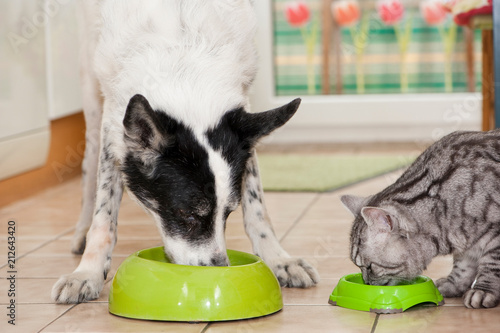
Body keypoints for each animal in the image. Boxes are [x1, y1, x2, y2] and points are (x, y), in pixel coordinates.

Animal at [50, 0, 318, 304]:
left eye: (228, 214)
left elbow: (257, 206)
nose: (219, 270)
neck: (184, 54)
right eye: (188, 216)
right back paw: (81, 230)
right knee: (88, 163)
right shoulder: (113, 122)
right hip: (91, 89)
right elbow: (104, 217)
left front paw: (278, 259)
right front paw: (88, 273)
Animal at [342, 128, 500, 308]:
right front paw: (452, 284)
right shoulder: (465, 245)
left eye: (369, 267)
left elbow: (491, 265)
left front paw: (483, 291)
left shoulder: (495, 237)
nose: (367, 283)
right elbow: (462, 267)